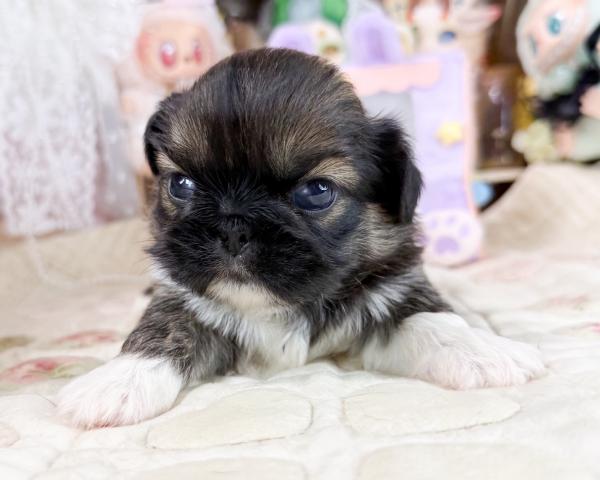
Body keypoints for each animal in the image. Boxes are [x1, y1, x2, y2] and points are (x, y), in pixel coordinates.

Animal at [57, 49, 545, 428]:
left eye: (316, 192)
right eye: (182, 185)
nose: (233, 226)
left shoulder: (393, 289)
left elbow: (434, 319)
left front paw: (483, 350)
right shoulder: (181, 297)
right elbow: (163, 326)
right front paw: (117, 381)